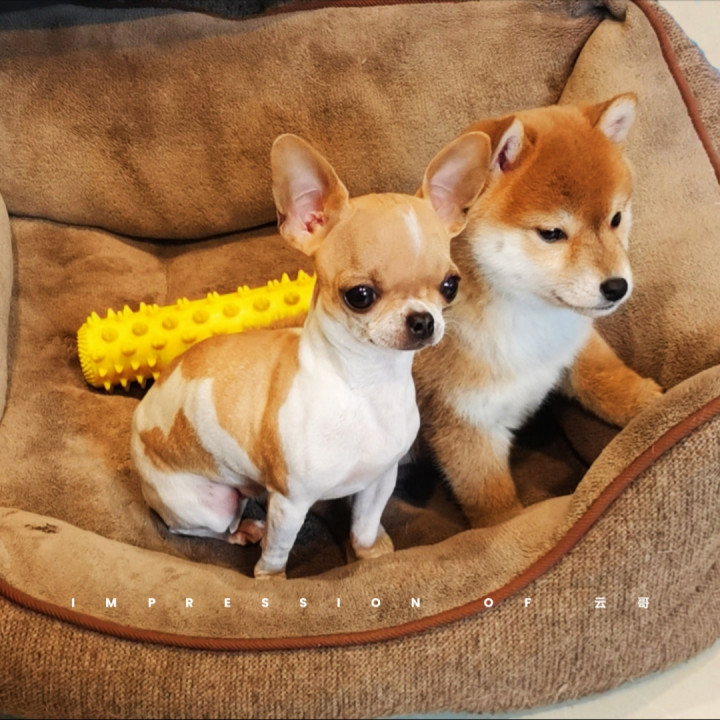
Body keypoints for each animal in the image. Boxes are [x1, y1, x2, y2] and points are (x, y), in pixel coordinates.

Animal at [131, 131, 491, 578]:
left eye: (450, 286)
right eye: (360, 295)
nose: (423, 320)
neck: (364, 385)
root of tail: (142, 414)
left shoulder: (379, 480)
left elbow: (365, 525)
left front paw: (370, 554)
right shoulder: (289, 504)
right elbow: (278, 550)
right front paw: (270, 580)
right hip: (204, 504)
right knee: (200, 526)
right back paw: (243, 529)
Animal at [412, 94, 663, 528]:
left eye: (615, 218)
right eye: (551, 234)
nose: (617, 287)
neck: (527, 318)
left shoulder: (575, 344)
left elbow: (611, 381)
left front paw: (656, 403)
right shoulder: (464, 427)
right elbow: (497, 511)